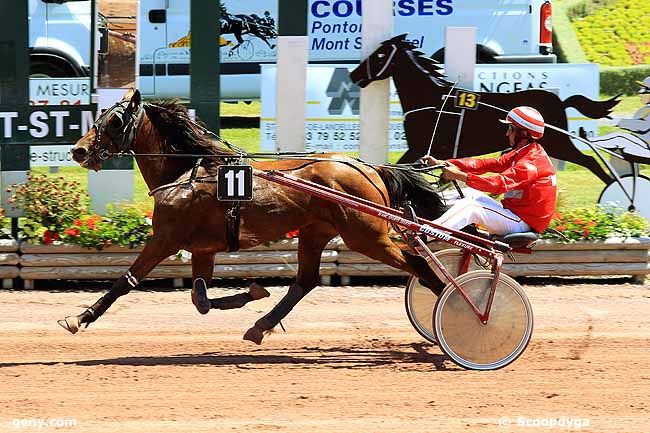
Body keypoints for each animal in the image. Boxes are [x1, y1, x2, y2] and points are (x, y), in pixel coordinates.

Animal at [60, 88, 446, 344]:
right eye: (100, 116)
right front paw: (255, 291)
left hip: (367, 236)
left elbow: (126, 281)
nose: (78, 150)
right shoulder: (202, 249)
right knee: (305, 281)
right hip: (316, 231)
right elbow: (200, 300)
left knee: (419, 264)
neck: (187, 172)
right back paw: (260, 326)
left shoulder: (165, 239)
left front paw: (79, 317)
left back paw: (453, 308)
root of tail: (369, 168)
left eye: (115, 120)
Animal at [350, 33, 616, 182]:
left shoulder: (419, 148)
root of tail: (559, 100)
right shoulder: (422, 151)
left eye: (381, 54)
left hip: (558, 143)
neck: (433, 101)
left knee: (590, 161)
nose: (354, 75)